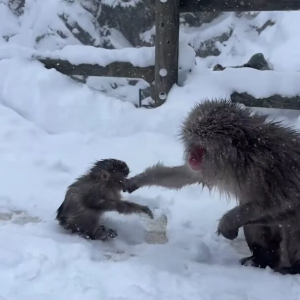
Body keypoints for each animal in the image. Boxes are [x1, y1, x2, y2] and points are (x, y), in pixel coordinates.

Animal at [123, 99, 300, 276]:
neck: (240, 157)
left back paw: (291, 268)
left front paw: (226, 223)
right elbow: (183, 176)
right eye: (193, 144)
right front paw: (137, 180)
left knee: (287, 220)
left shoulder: (266, 168)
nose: (191, 158)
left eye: (201, 148)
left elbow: (283, 201)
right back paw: (261, 259)